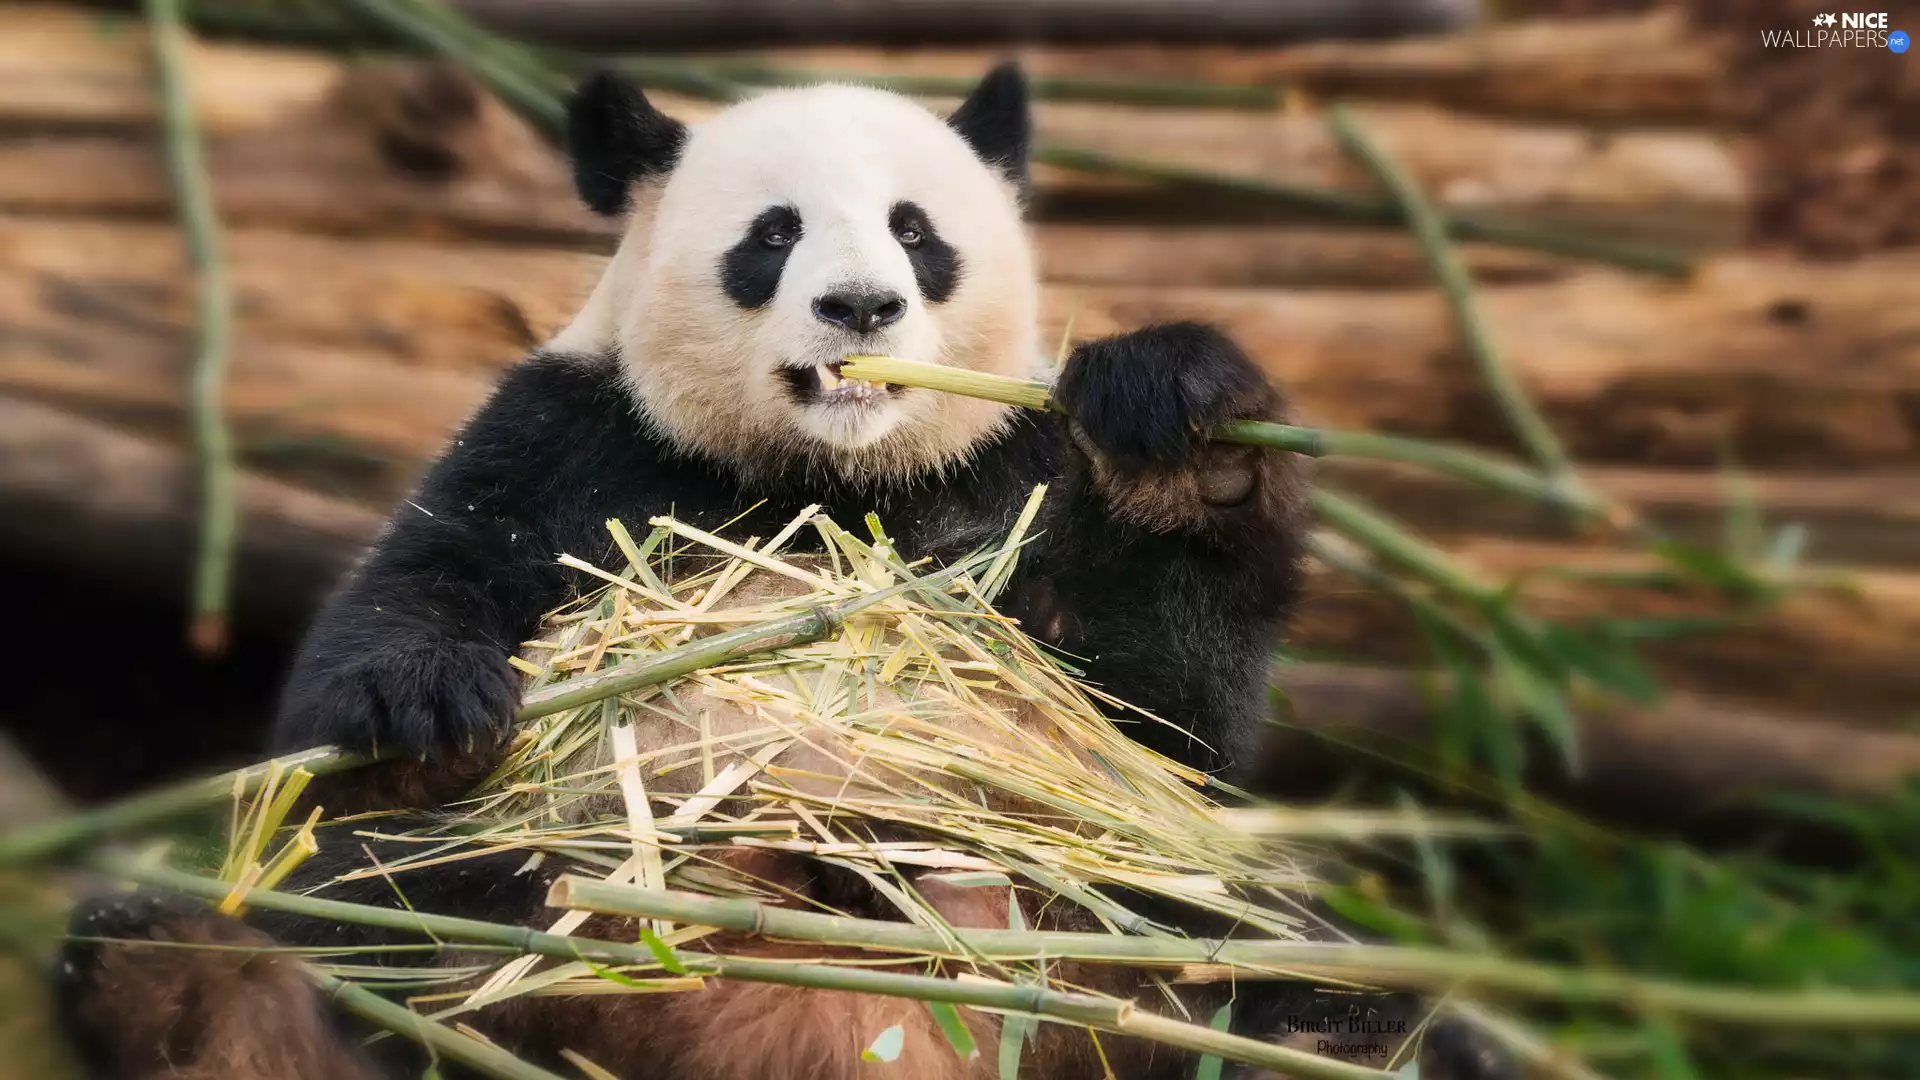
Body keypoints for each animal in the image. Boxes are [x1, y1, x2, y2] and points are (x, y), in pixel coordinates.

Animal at [55, 66, 1508, 1080]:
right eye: (772, 234)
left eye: (917, 232)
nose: (860, 306)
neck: (827, 480)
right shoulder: (569, 438)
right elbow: (399, 628)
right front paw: (420, 714)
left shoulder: (1015, 472)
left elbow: (1157, 728)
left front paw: (1189, 437)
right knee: (387, 924)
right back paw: (187, 994)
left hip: (1133, 982)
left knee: (1275, 969)